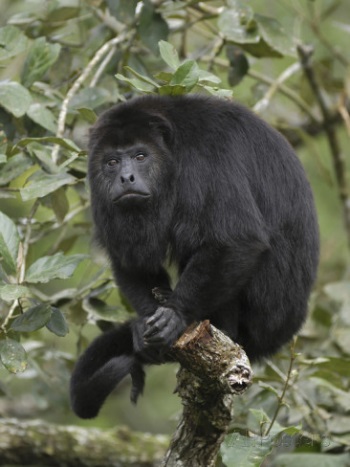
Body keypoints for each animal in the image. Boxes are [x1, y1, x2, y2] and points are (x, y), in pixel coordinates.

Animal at [69, 95, 318, 420]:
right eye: (111, 162)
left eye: (140, 156)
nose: (125, 177)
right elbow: (131, 261)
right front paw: (145, 327)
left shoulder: (207, 157)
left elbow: (237, 240)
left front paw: (176, 315)